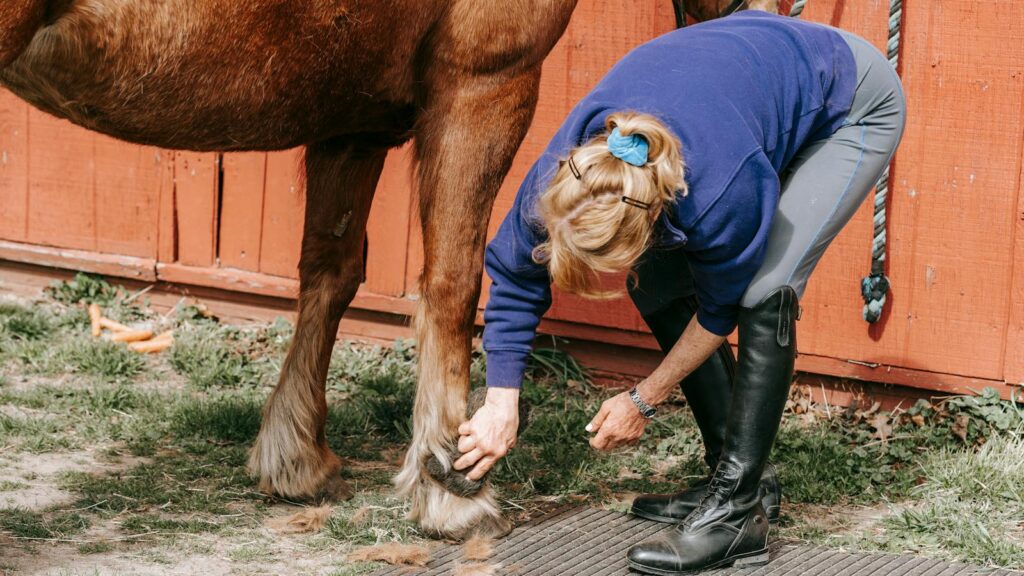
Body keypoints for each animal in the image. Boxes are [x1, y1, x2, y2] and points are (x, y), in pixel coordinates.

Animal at [0, 0, 776, 539]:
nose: (773, 14)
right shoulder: (483, 84)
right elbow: (453, 281)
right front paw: (453, 485)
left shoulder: (353, 122)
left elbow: (332, 270)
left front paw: (295, 457)